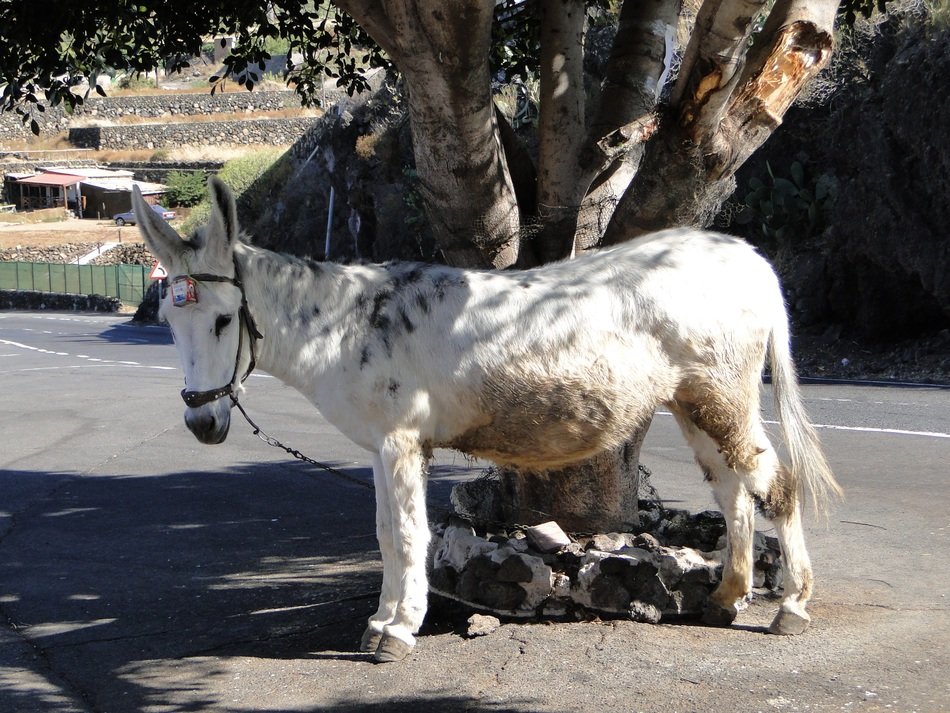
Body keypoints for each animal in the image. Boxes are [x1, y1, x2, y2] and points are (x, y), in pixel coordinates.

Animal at [134, 177, 841, 663]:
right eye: (167, 319)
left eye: (223, 320)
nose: (202, 424)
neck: (345, 326)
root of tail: (748, 256)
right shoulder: (380, 447)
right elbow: (384, 533)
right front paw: (382, 620)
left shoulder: (400, 443)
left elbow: (408, 536)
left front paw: (398, 633)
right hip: (694, 402)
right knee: (732, 488)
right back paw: (728, 597)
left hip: (723, 394)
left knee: (774, 486)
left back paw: (792, 606)